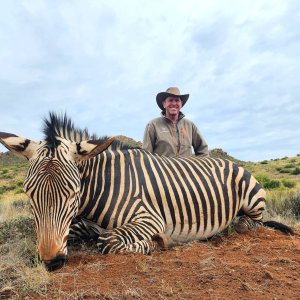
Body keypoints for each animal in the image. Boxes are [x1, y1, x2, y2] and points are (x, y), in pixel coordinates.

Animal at [0, 112, 292, 270]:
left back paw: (234, 225)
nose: (52, 262)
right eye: (29, 194)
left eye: (73, 192)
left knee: (251, 223)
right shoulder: (83, 223)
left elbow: (107, 241)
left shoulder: (149, 218)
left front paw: (155, 243)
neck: (104, 184)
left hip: (252, 200)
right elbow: (76, 232)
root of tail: (228, 161)